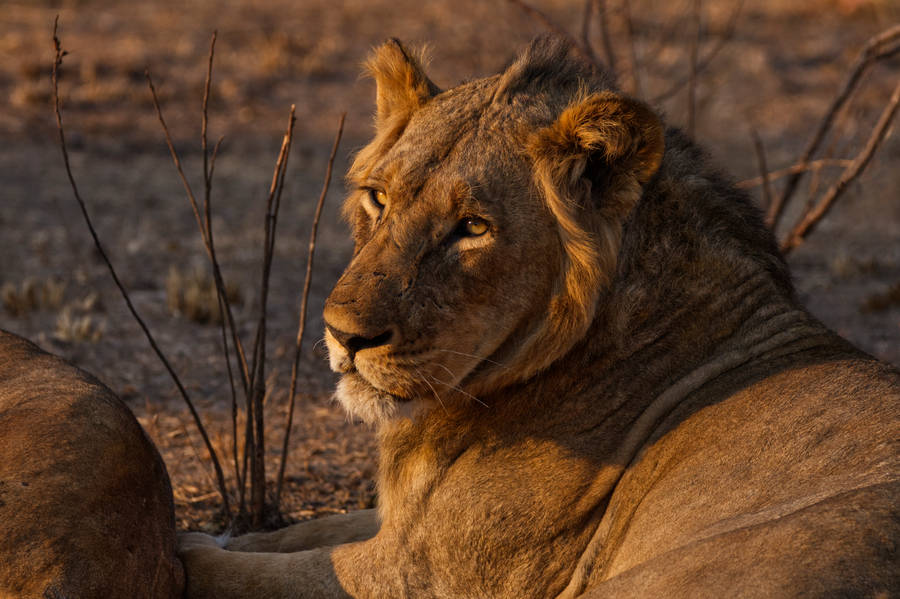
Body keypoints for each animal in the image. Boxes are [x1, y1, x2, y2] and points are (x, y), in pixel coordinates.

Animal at [178, 36, 899, 597]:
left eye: (472, 227)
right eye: (378, 198)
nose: (343, 335)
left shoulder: (425, 575)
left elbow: (249, 574)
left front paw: (184, 549)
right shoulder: (405, 524)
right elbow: (305, 529)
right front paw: (208, 530)